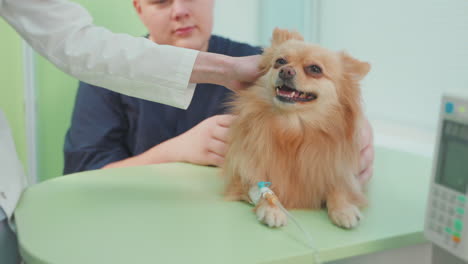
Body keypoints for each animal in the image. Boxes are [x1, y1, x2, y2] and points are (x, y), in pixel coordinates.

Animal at [221, 27, 372, 229]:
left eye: (315, 69)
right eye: (280, 61)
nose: (286, 70)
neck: (292, 127)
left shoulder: (337, 169)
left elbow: (338, 186)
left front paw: (344, 208)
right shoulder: (243, 173)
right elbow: (261, 187)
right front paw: (271, 208)